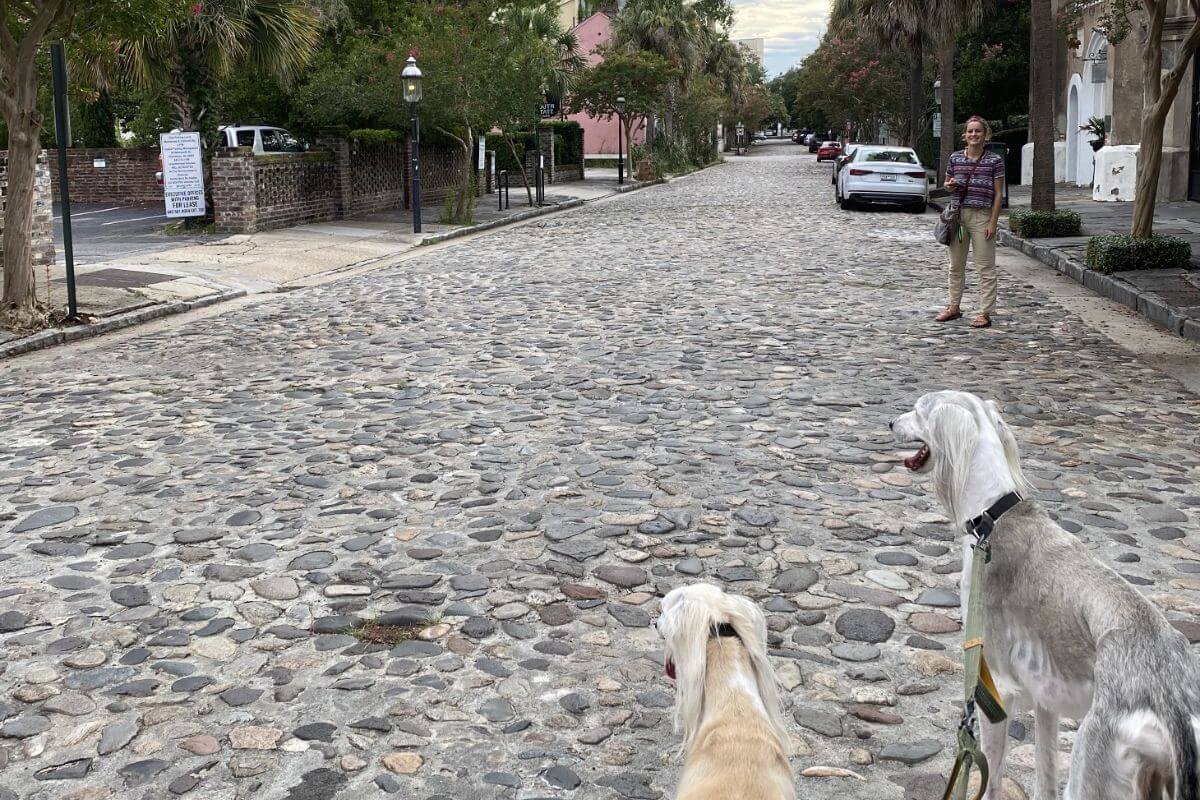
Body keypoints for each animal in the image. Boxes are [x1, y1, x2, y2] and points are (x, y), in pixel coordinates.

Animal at [892, 393, 1200, 800]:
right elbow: (1045, 774)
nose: (890, 422)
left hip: (1091, 770)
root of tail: (1172, 701)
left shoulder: (997, 690)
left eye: (918, 409)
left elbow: (992, 778)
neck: (993, 516)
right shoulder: (1045, 699)